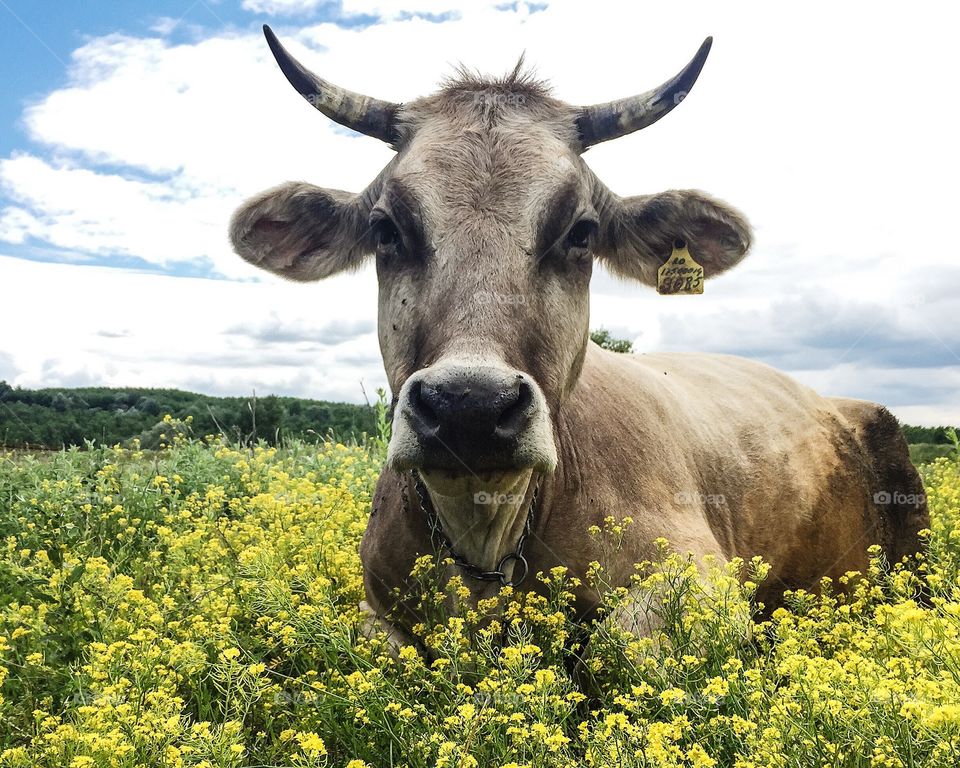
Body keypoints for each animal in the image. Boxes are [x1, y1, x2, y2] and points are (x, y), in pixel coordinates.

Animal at [230, 26, 929, 650]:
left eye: (581, 231)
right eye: (385, 228)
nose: (468, 406)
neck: (486, 534)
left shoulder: (702, 585)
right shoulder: (375, 612)